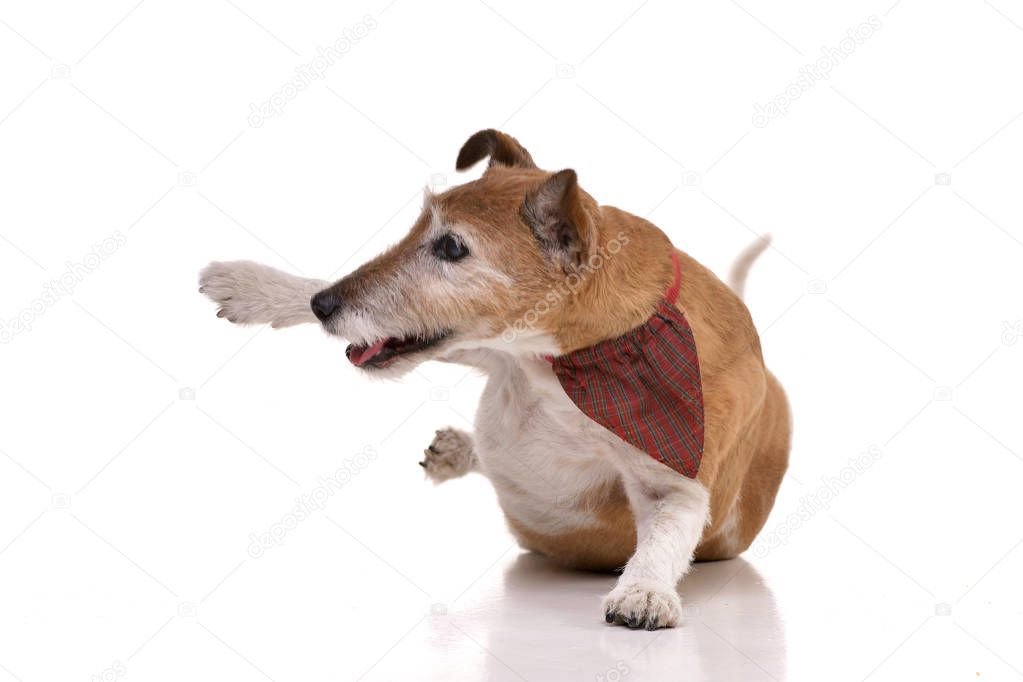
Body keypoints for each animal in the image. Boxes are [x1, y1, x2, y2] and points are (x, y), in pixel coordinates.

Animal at [199, 130, 789, 633]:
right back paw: (459, 449)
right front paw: (254, 287)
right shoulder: (493, 350)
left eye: (451, 247)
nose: (326, 308)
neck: (561, 364)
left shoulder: (675, 475)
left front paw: (643, 592)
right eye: (418, 228)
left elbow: (665, 533)